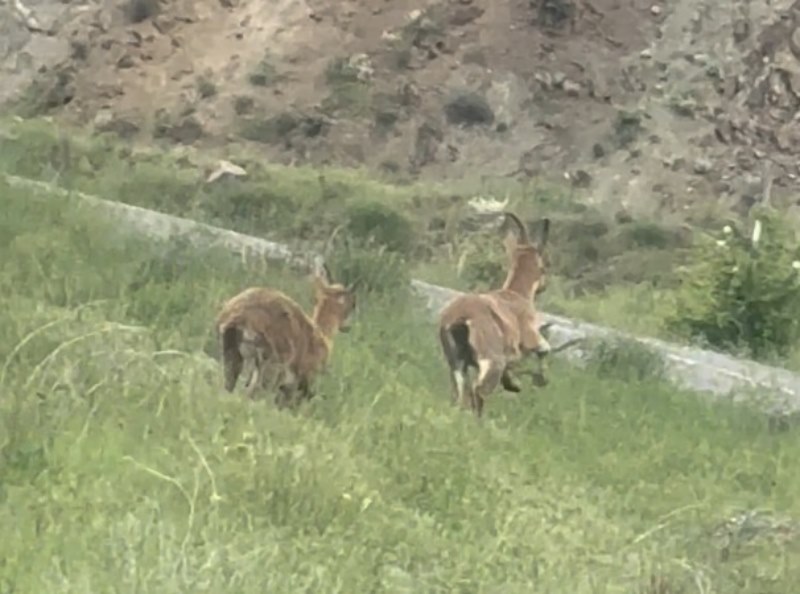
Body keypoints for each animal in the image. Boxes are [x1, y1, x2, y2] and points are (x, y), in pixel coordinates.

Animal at [217, 264, 358, 408]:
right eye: (353, 303)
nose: (348, 327)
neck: (321, 334)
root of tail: (239, 316)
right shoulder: (303, 381)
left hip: (232, 353)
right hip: (271, 364)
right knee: (253, 393)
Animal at [438, 213, 552, 416]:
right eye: (545, 266)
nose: (544, 286)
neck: (516, 294)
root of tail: (459, 318)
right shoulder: (530, 336)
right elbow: (544, 349)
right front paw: (534, 380)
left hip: (457, 363)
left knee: (461, 393)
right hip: (491, 359)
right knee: (479, 390)